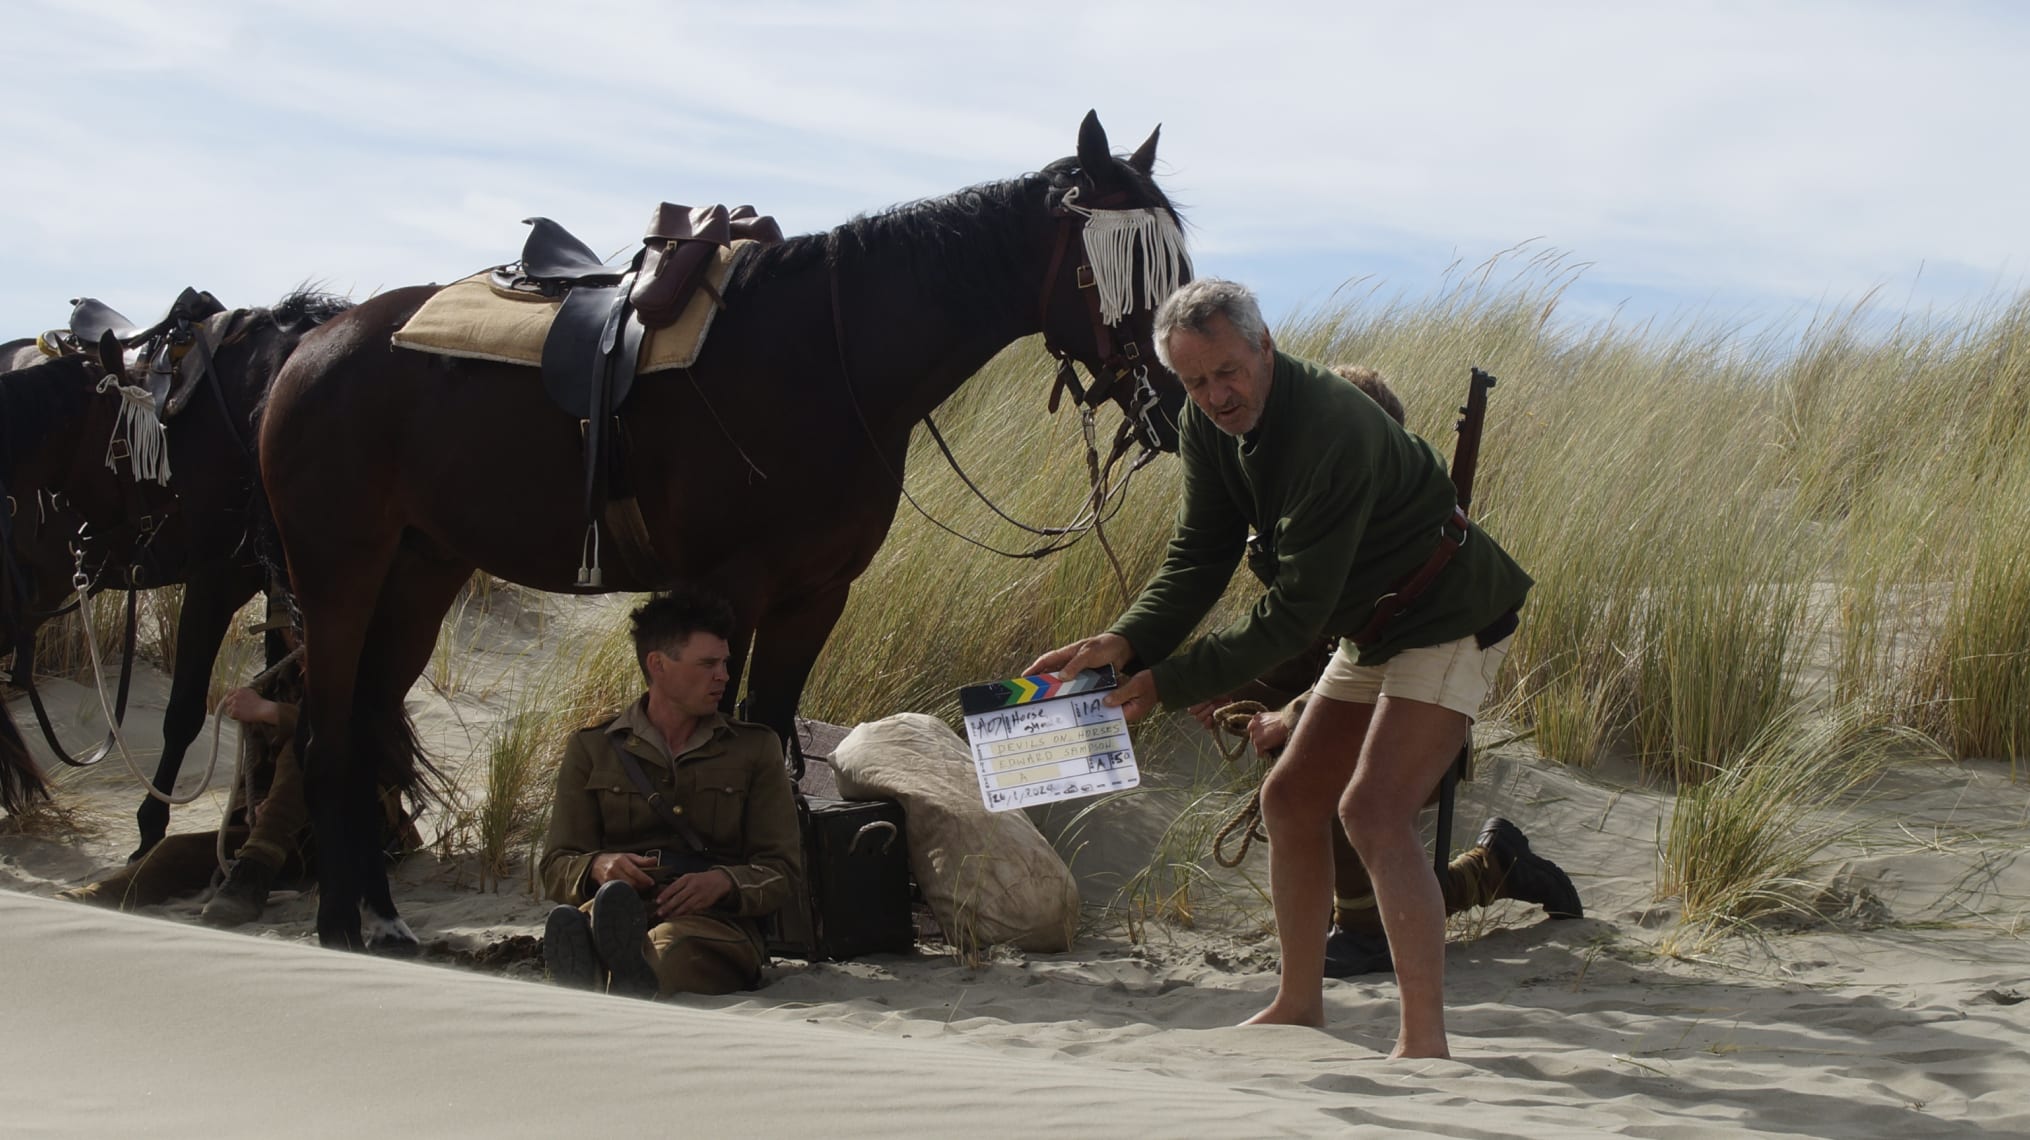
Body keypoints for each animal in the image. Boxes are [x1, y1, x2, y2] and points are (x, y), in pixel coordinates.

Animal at [261, 111, 1190, 950]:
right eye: (1125, 264)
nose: (1177, 402)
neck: (830, 360)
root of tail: (314, 343)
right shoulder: (732, 588)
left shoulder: (815, 596)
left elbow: (771, 738)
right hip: (338, 569)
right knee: (326, 736)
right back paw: (339, 922)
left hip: (422, 572)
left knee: (368, 727)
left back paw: (384, 917)